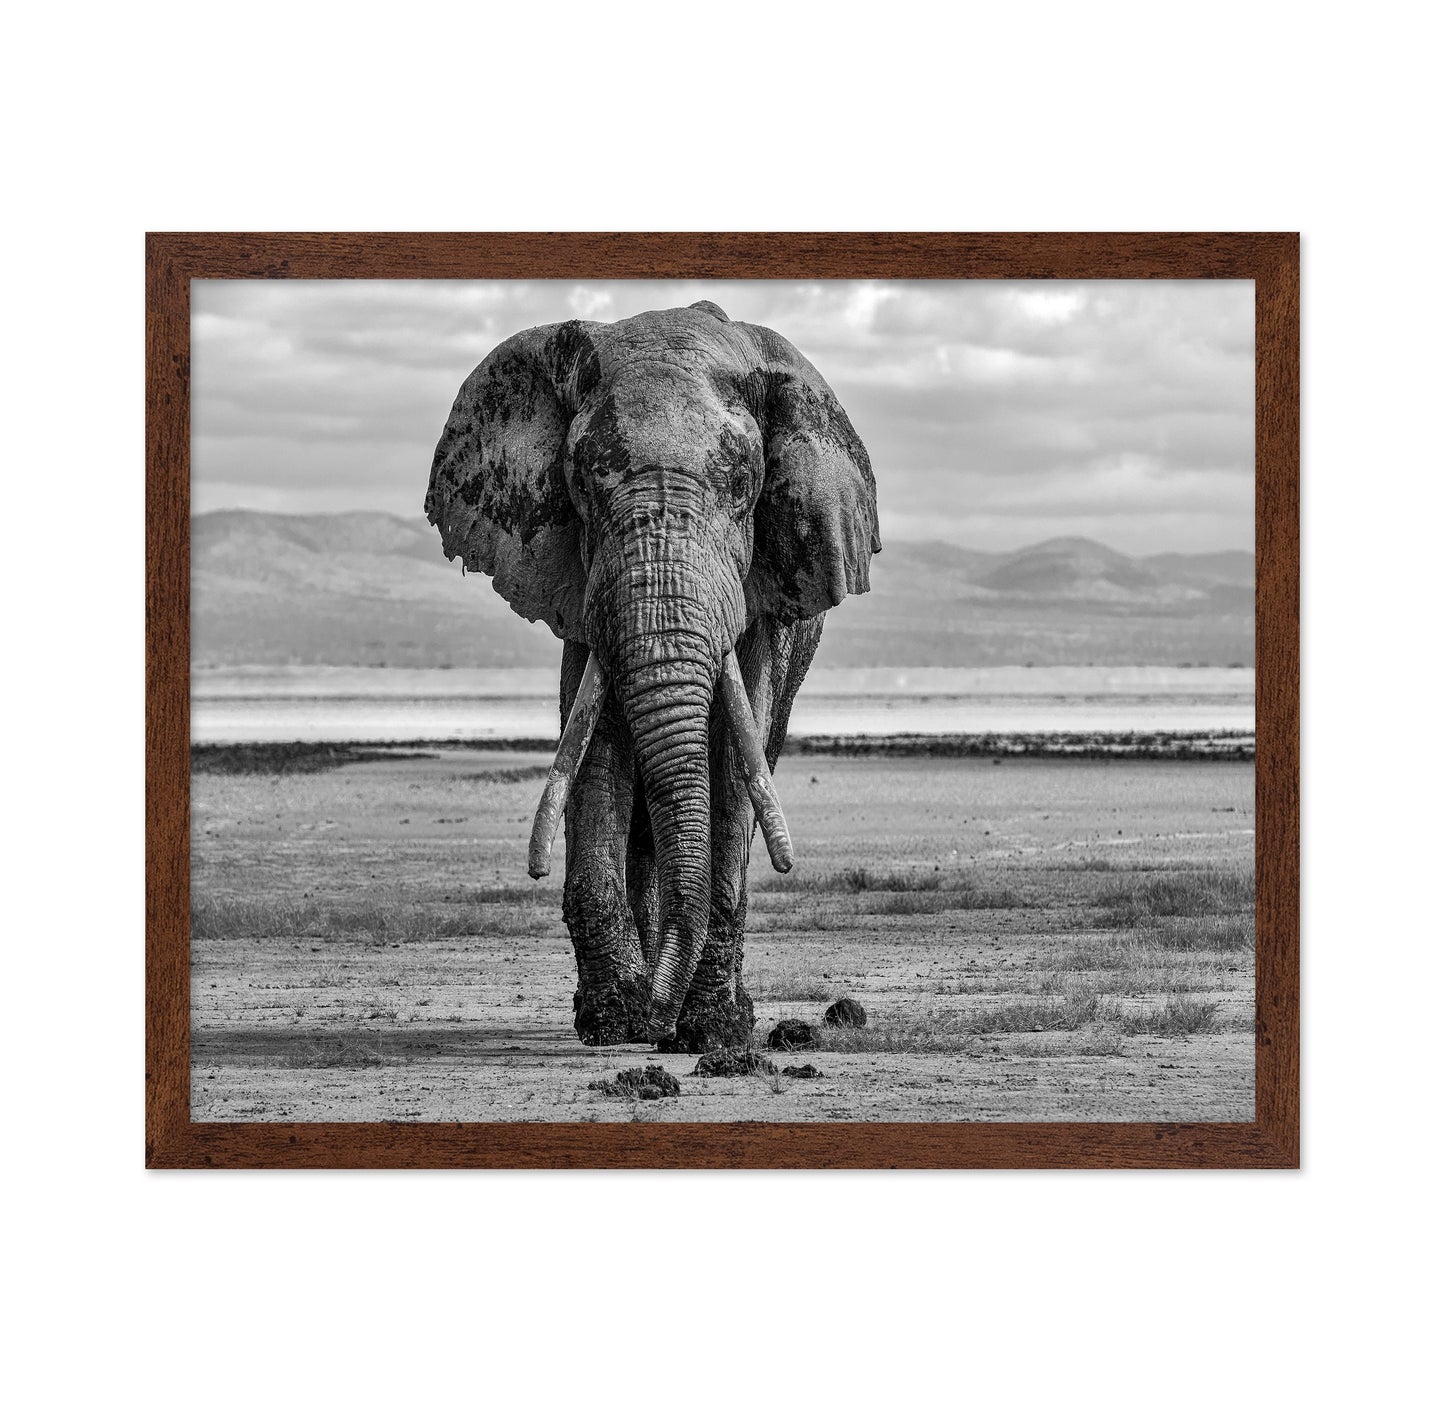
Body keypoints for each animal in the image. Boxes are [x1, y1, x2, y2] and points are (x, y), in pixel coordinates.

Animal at [424, 300, 879, 1051]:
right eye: (581, 481)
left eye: (743, 485)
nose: (654, 1019)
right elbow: (596, 747)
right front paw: (614, 1021)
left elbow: (733, 758)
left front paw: (711, 1032)